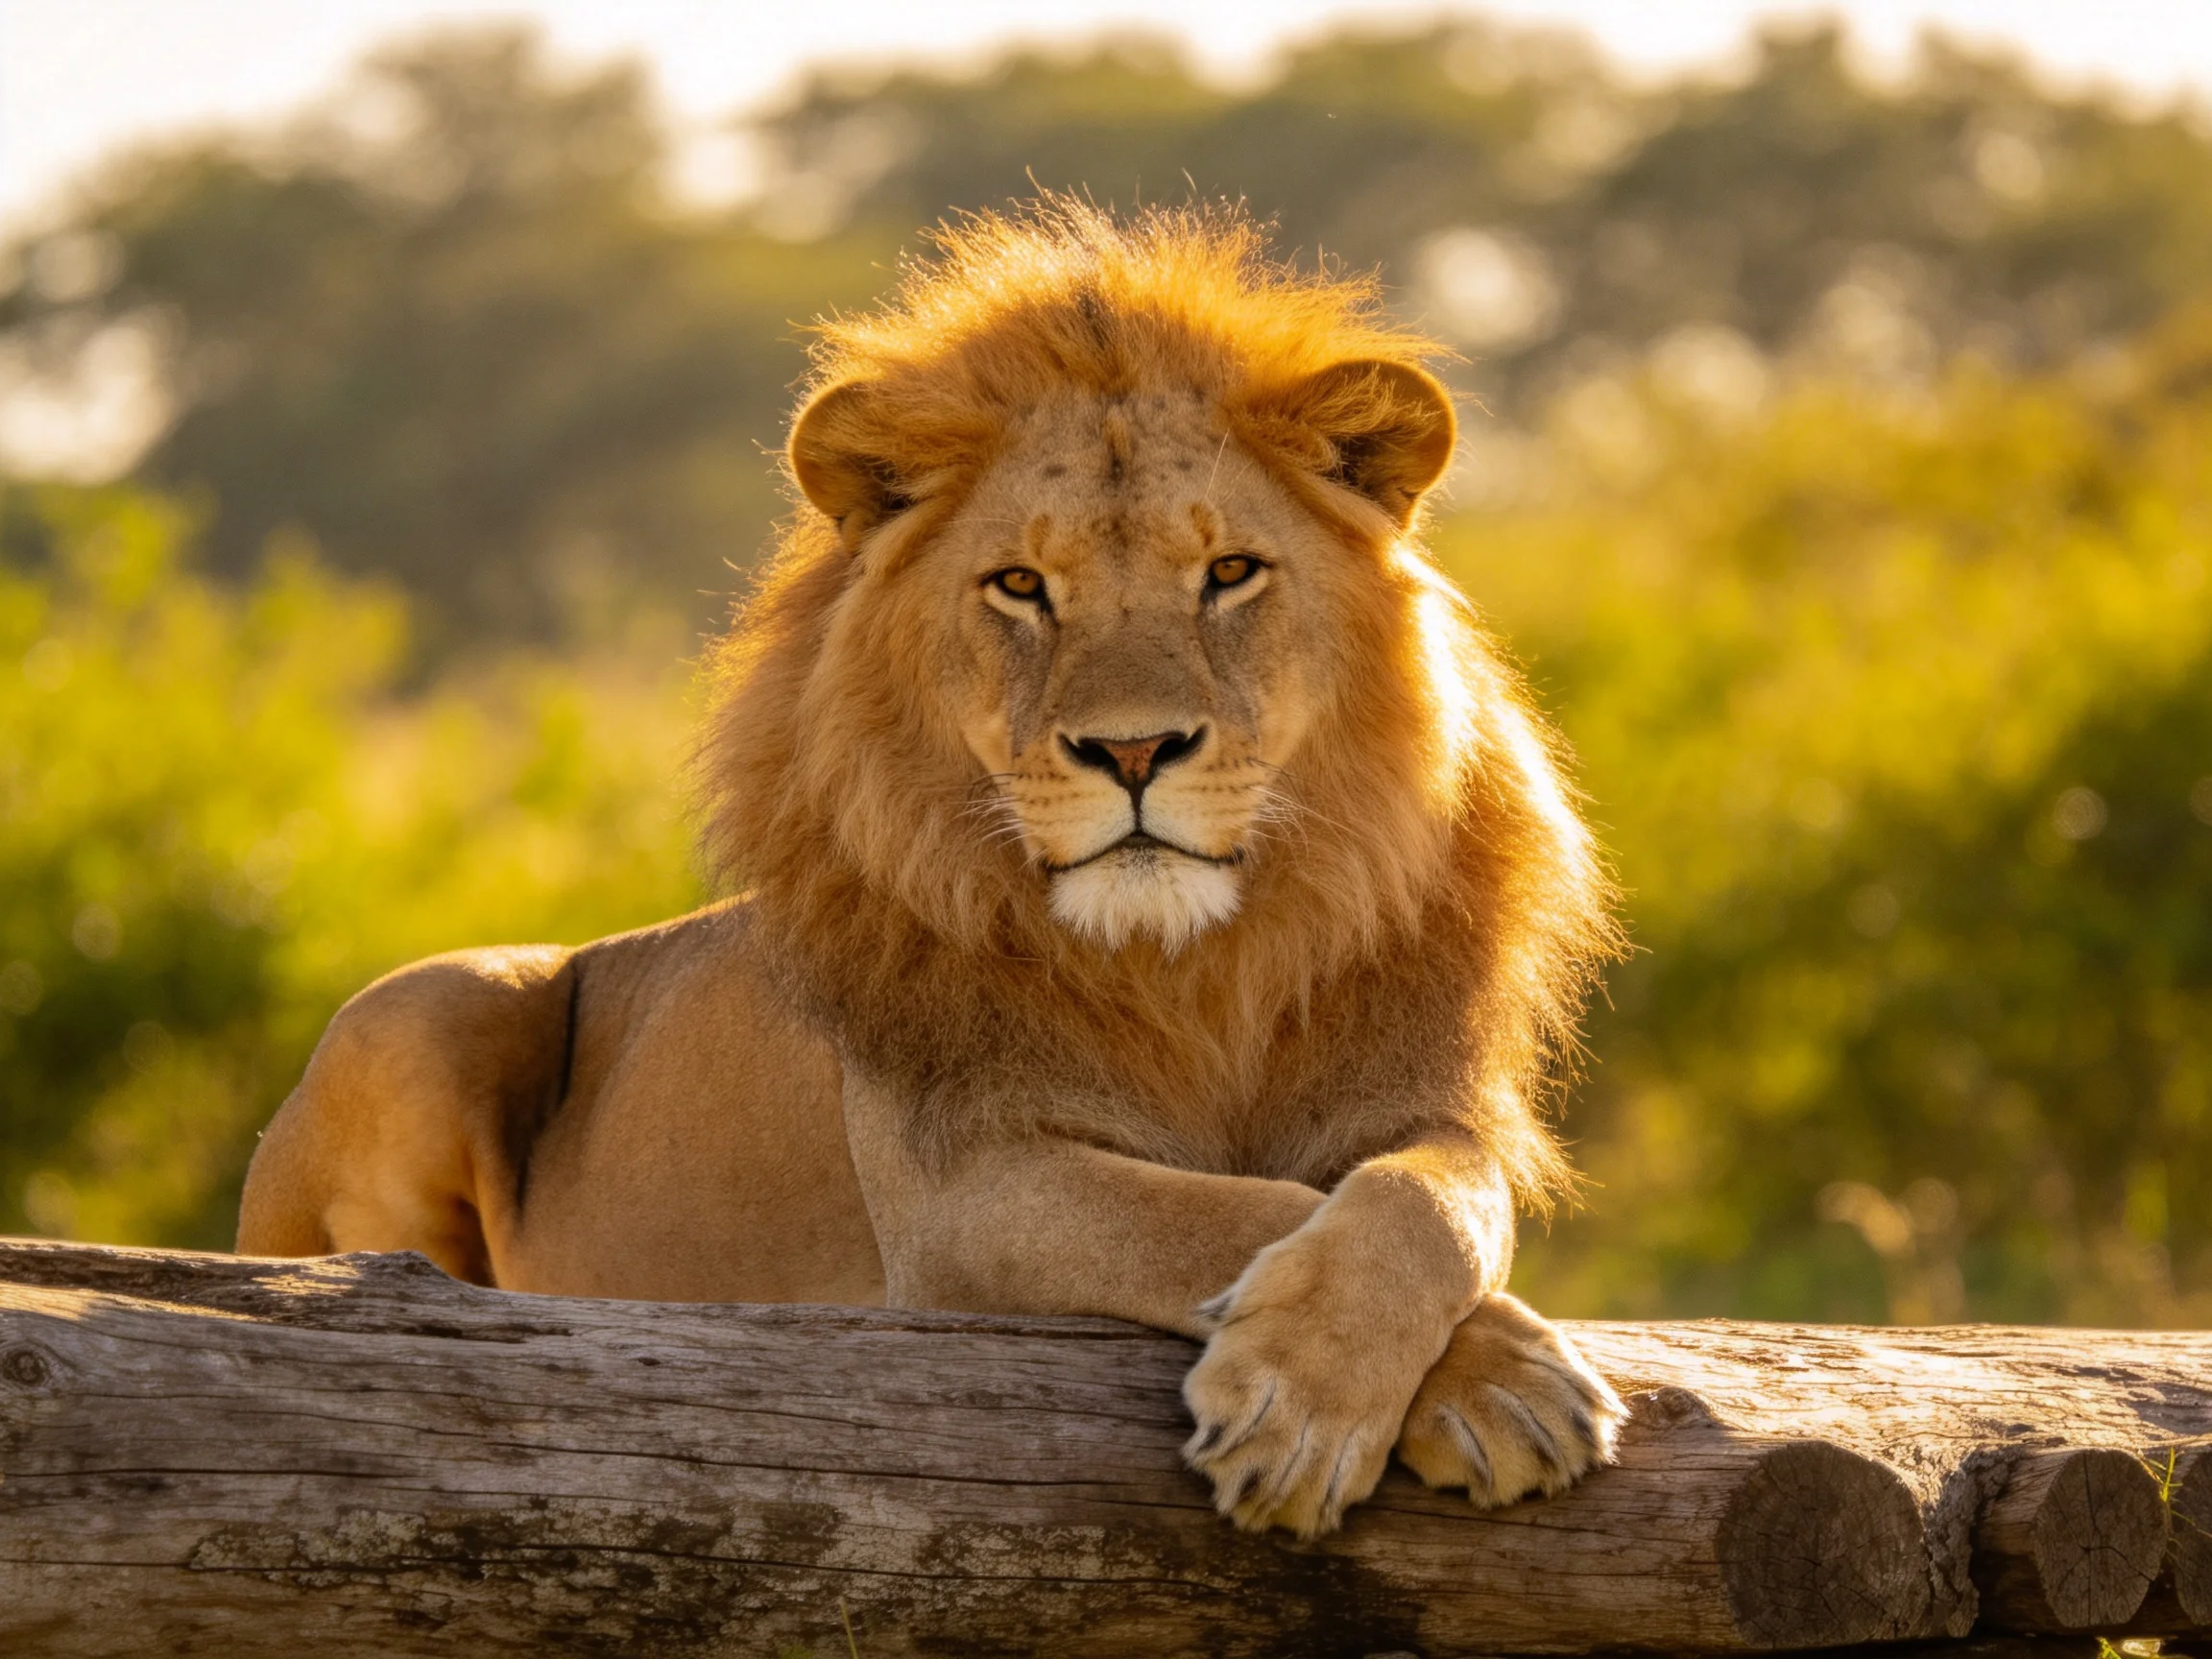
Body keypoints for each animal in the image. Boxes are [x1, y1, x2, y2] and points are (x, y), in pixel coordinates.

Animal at [238, 200, 1628, 1538]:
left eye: (1229, 572)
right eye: (1020, 586)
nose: (1133, 750)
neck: (1193, 964)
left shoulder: (1429, 1104)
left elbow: (1428, 1205)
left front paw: (1467, 1383)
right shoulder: (960, 1200)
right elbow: (1223, 1210)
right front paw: (1400, 1391)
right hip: (429, 1004)